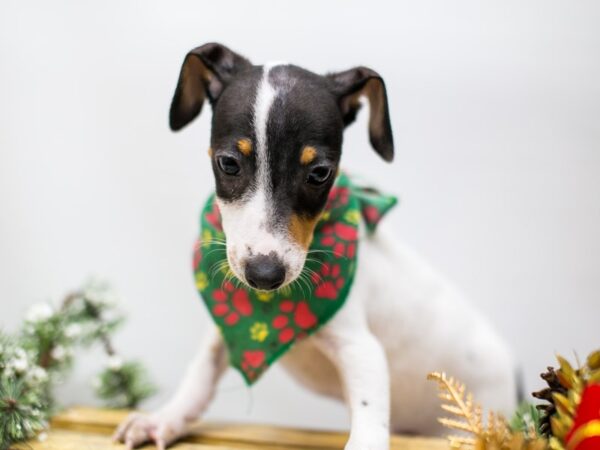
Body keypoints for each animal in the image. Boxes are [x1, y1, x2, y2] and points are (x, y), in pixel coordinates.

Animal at [115, 43, 516, 450]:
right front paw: (163, 418)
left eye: (319, 173)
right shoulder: (223, 333)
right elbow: (199, 375)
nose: (264, 276)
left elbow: (368, 422)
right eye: (228, 163)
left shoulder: (362, 349)